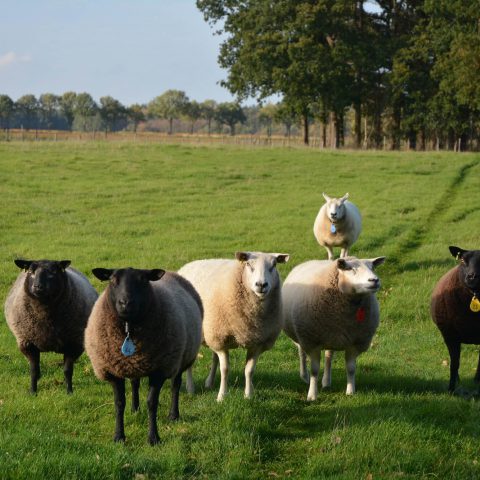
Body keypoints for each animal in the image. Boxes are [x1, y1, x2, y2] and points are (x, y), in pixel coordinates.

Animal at [4, 258, 98, 394]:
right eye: (31, 272)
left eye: (53, 272)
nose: (38, 287)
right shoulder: (27, 344)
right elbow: (33, 371)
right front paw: (33, 392)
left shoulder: (74, 345)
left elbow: (67, 371)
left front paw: (69, 392)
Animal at [84, 268, 201, 444]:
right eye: (112, 280)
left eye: (143, 280)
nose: (126, 303)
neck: (128, 329)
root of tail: (172, 273)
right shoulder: (113, 371)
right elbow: (119, 403)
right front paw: (119, 436)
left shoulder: (160, 370)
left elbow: (152, 403)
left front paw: (153, 438)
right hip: (135, 365)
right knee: (135, 383)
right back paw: (135, 409)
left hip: (180, 358)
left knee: (175, 385)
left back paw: (174, 415)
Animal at [177, 251, 286, 402]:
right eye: (248, 264)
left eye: (274, 265)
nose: (261, 284)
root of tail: (188, 265)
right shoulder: (220, 340)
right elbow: (225, 370)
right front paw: (222, 396)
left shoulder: (257, 343)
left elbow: (249, 370)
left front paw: (248, 395)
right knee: (191, 363)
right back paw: (190, 388)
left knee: (214, 358)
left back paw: (209, 382)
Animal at [284, 256, 384, 400]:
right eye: (350, 269)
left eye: (373, 268)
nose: (374, 280)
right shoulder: (312, 341)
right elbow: (314, 370)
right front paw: (312, 395)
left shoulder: (354, 342)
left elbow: (351, 368)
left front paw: (350, 391)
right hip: (300, 335)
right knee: (301, 353)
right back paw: (304, 376)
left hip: (331, 337)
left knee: (328, 357)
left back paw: (326, 381)